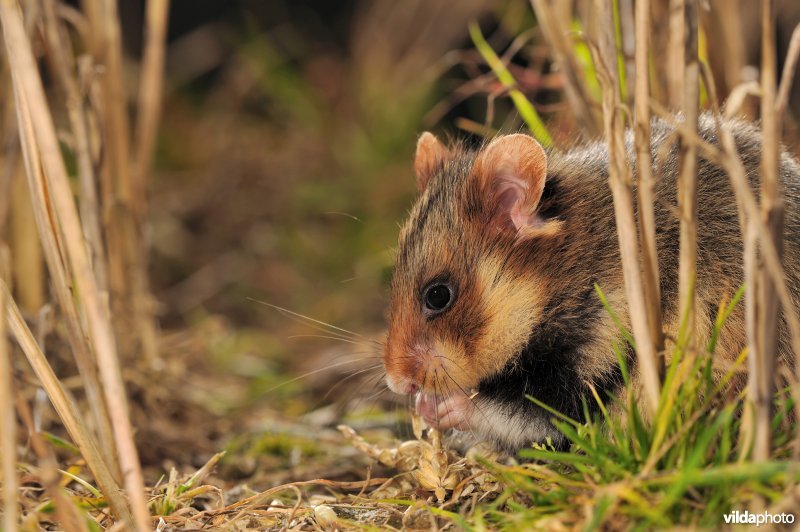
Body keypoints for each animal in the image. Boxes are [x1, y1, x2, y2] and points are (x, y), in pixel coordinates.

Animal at [382, 114, 800, 452]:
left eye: (439, 295)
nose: (397, 384)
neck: (563, 278)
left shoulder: (590, 363)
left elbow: (518, 410)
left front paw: (437, 406)